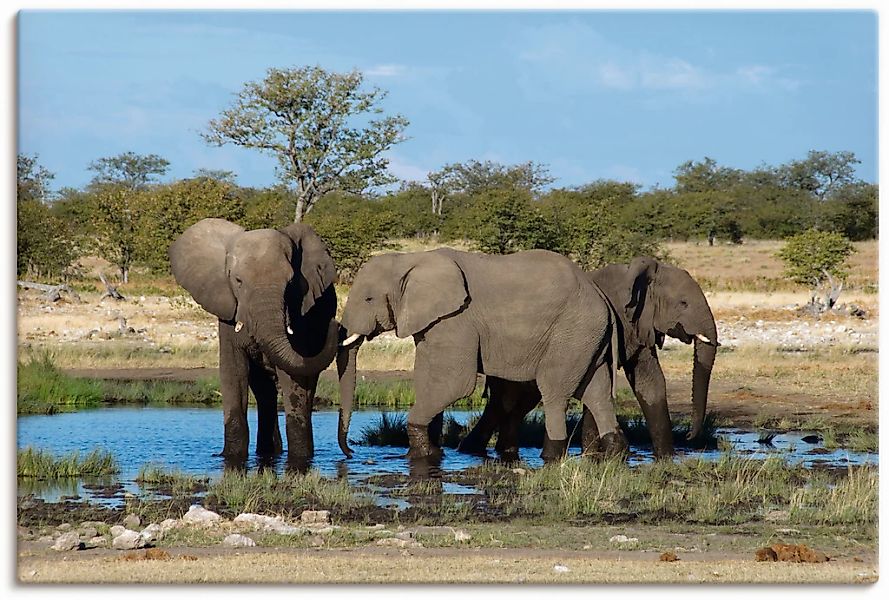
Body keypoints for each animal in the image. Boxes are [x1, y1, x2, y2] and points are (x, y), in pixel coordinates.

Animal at [169, 218, 340, 466]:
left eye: (291, 282)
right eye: (238, 281)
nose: (335, 324)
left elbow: (292, 378)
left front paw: (299, 461)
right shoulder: (228, 313)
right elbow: (233, 372)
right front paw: (231, 459)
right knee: (264, 392)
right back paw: (269, 452)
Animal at [336, 246, 620, 462]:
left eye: (369, 299)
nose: (350, 454)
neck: (410, 259)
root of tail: (601, 296)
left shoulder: (457, 319)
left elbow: (454, 384)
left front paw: (422, 454)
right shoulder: (434, 322)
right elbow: (429, 379)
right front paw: (432, 452)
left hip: (572, 332)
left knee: (555, 393)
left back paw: (551, 456)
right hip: (586, 338)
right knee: (597, 392)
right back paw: (615, 452)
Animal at [454, 255, 720, 458]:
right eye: (683, 303)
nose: (690, 436)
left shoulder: (639, 327)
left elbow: (650, 384)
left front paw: (666, 458)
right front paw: (592, 455)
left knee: (513, 404)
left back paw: (496, 451)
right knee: (507, 401)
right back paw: (475, 451)